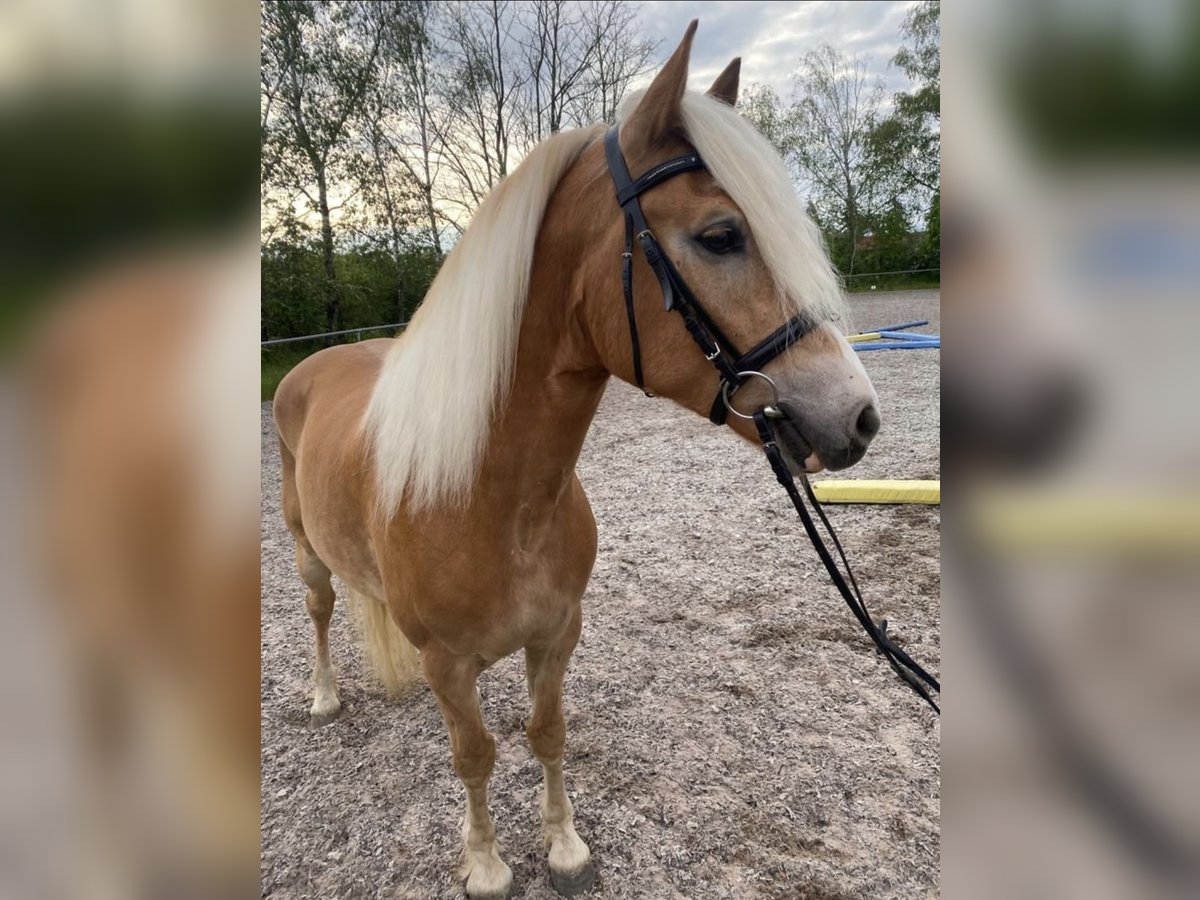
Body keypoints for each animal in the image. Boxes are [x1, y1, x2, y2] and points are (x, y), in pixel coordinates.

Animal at [276, 22, 888, 900]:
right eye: (720, 236)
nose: (859, 414)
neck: (493, 501)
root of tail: (313, 364)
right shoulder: (451, 664)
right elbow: (476, 756)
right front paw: (487, 864)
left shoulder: (558, 635)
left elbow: (548, 732)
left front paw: (564, 847)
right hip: (305, 551)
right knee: (321, 610)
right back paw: (323, 696)